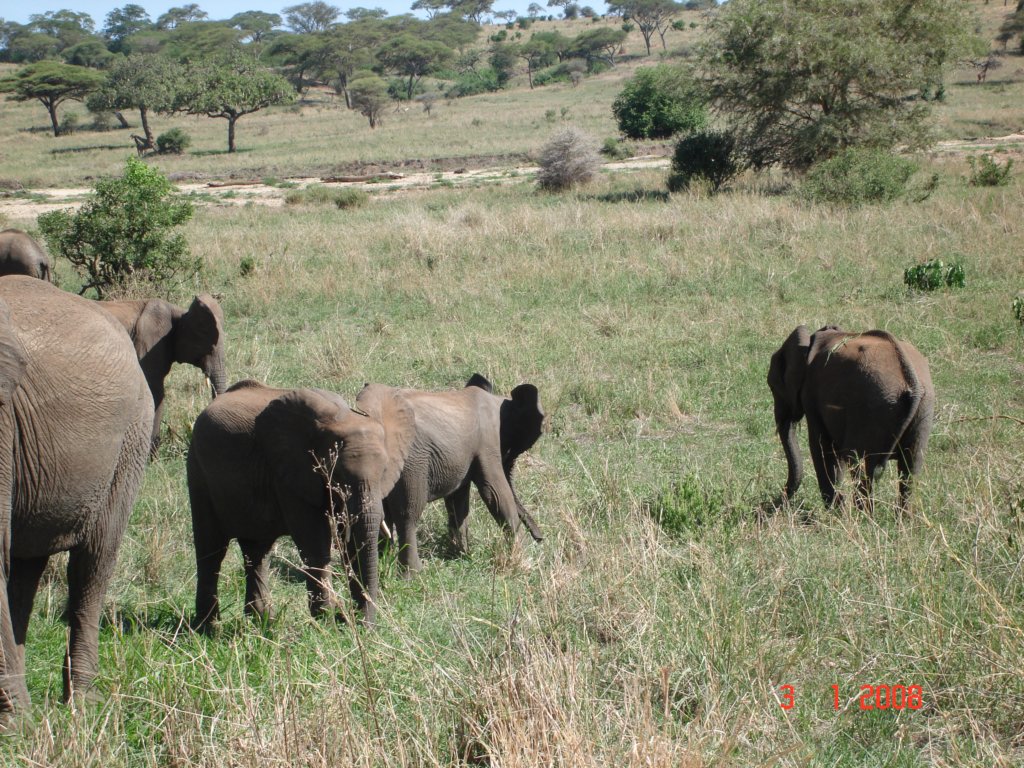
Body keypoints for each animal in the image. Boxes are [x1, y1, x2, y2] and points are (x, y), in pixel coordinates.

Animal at [188, 378, 415, 626]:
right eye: (336, 476)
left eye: (384, 472)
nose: (353, 621)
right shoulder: (291, 474)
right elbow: (314, 542)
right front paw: (326, 623)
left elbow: (350, 543)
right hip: (198, 473)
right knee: (211, 550)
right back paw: (208, 627)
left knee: (256, 552)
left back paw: (262, 622)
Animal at [356, 376, 544, 573]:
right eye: (510, 449)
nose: (540, 539)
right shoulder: (487, 442)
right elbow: (496, 494)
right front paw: (526, 560)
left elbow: (457, 501)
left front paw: (462, 556)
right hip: (411, 463)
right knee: (408, 514)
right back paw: (413, 574)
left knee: (385, 515)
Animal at [770, 323, 937, 512]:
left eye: (773, 387)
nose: (776, 502)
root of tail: (912, 385)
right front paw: (837, 506)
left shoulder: (811, 394)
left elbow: (821, 448)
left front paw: (836, 509)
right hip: (923, 412)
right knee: (910, 469)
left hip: (872, 412)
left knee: (863, 469)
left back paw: (863, 515)